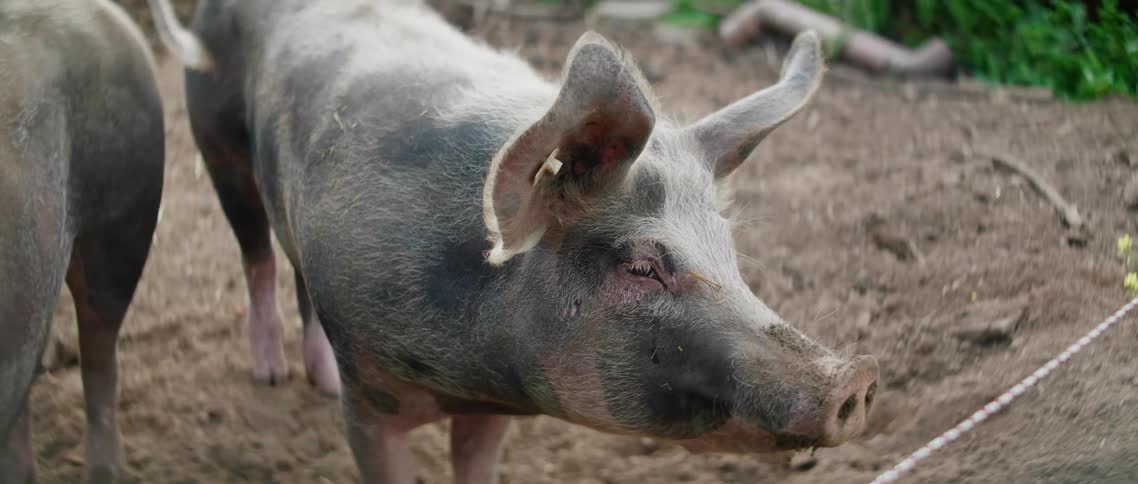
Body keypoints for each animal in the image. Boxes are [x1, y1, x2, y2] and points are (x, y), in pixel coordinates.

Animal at [147, 0, 879, 482]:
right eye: (642, 265)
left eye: (727, 250)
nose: (856, 377)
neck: (467, 374)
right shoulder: (372, 396)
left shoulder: (489, 411)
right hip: (216, 142)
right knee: (255, 254)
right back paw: (270, 375)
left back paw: (317, 380)